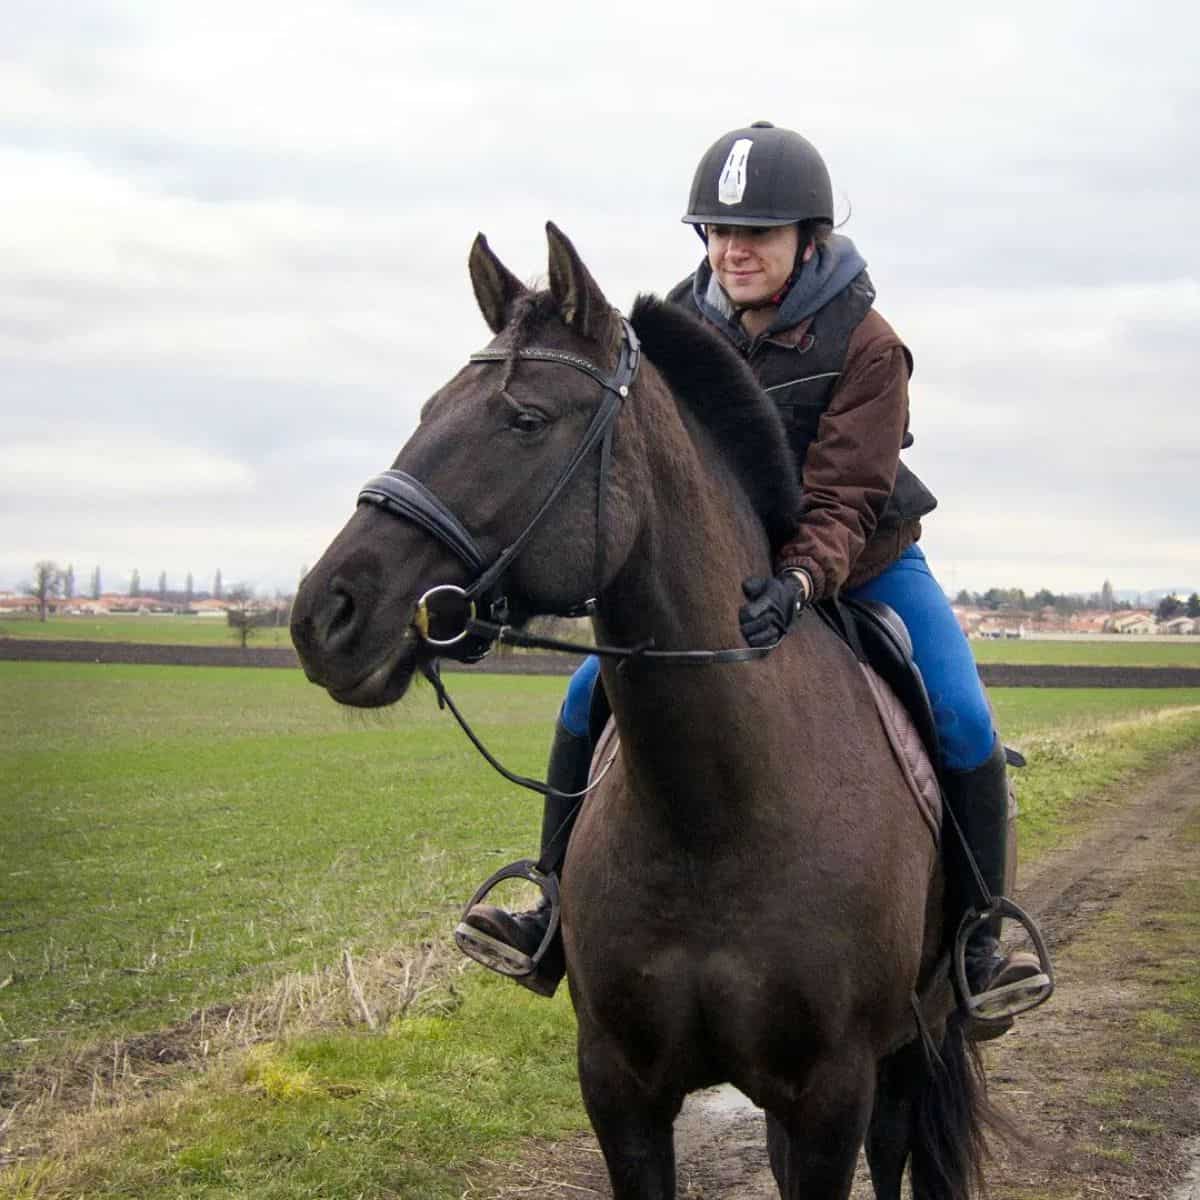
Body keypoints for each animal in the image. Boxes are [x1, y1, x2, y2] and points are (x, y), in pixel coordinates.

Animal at [288, 225, 993, 1200]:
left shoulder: (831, 1094)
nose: (325, 616)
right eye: (430, 406)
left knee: (895, 1153)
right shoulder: (620, 1087)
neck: (714, 815)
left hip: (911, 1044)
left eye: (525, 419)